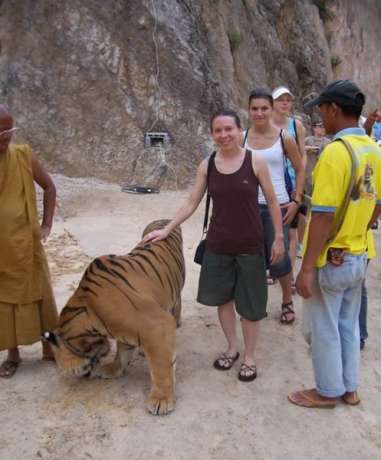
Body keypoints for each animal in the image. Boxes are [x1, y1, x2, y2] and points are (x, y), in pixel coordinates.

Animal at [43, 220, 186, 416]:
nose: (84, 375)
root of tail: (163, 219)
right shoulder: (128, 331)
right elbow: (122, 353)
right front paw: (111, 369)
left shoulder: (156, 325)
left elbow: (161, 367)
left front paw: (161, 400)